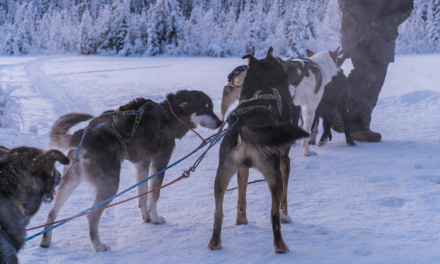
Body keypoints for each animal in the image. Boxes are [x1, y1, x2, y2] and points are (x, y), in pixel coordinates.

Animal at [39, 90, 222, 252]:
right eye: (204, 109)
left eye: (212, 107)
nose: (220, 122)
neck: (168, 115)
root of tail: (86, 132)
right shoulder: (160, 163)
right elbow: (154, 195)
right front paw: (155, 218)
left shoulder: (142, 163)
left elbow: (142, 195)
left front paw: (147, 218)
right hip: (110, 185)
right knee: (91, 215)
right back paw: (98, 245)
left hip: (71, 180)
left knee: (52, 212)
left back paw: (45, 241)